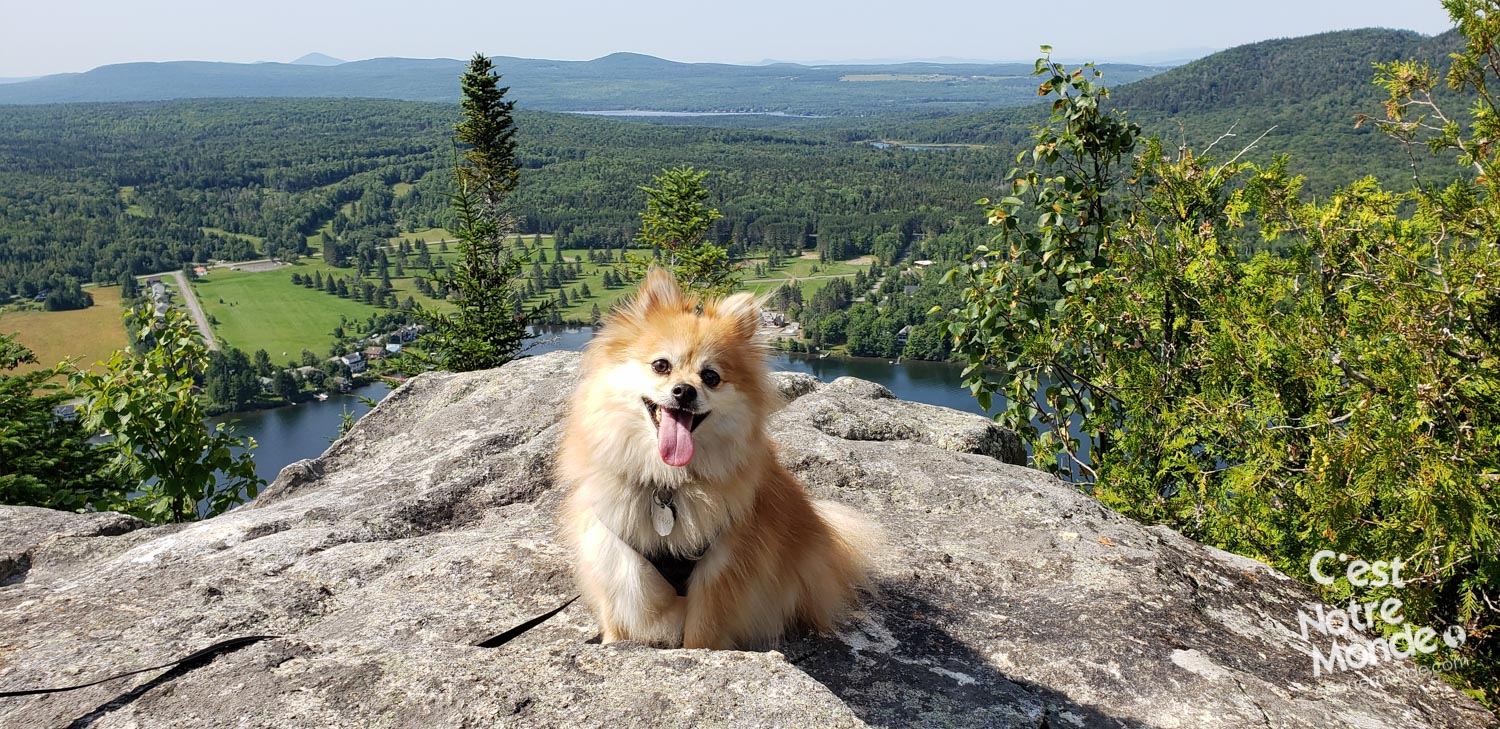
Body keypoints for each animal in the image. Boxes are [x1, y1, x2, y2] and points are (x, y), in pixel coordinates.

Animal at [558, 267, 876, 648]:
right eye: (661, 366)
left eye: (711, 377)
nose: (684, 391)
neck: (668, 485)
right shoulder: (613, 559)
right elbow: (616, 624)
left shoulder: (721, 572)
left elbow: (701, 637)